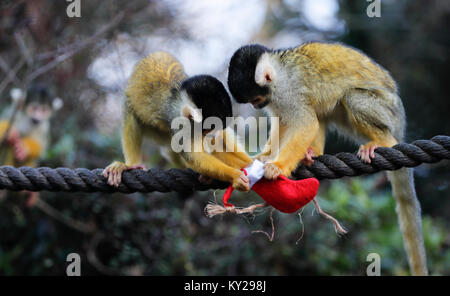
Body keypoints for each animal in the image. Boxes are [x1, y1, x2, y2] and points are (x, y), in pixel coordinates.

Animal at [104, 52, 253, 192]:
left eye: (213, 129)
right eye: (208, 129)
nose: (212, 134)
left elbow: (217, 143)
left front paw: (249, 164)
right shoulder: (181, 124)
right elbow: (194, 156)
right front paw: (235, 175)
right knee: (130, 107)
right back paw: (130, 164)